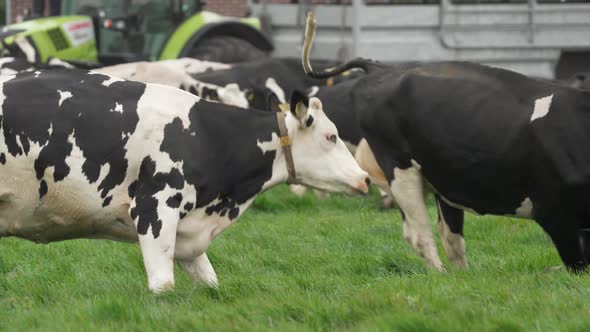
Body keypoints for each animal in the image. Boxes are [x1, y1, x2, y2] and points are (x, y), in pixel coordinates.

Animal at [0, 68, 370, 292]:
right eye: (331, 136)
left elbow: (210, 283)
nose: (365, 178)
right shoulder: (154, 209)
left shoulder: (190, 235)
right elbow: (163, 286)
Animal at [302, 12, 590, 272]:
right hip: (400, 169)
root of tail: (385, 68)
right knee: (420, 233)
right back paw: (439, 274)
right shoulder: (554, 213)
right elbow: (578, 266)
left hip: (441, 177)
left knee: (450, 236)